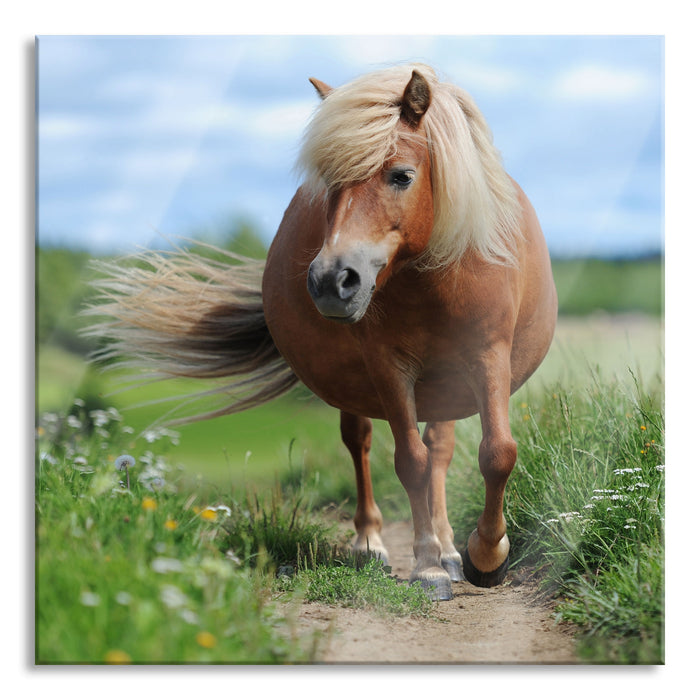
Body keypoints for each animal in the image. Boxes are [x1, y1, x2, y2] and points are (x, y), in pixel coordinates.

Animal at [89, 64, 556, 600]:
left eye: (401, 175)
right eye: (330, 183)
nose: (333, 280)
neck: (434, 276)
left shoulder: (487, 357)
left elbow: (496, 453)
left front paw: (485, 556)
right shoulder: (389, 368)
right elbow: (410, 461)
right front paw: (427, 567)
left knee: (440, 449)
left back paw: (450, 551)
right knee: (362, 443)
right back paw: (373, 545)